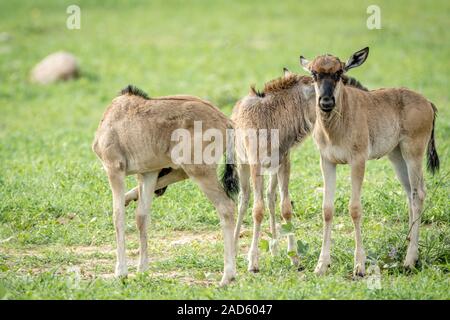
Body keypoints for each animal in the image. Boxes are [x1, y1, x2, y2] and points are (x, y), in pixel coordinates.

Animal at [91, 85, 239, 284]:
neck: (113, 116)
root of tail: (226, 121)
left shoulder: (114, 169)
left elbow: (118, 216)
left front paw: (121, 272)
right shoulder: (149, 173)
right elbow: (141, 217)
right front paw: (142, 269)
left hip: (200, 172)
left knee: (226, 207)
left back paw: (227, 276)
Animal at [298, 47, 440, 276]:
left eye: (339, 72)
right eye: (314, 73)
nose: (326, 102)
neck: (337, 123)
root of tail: (428, 103)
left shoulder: (358, 161)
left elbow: (354, 208)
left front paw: (359, 266)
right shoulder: (327, 162)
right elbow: (327, 209)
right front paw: (321, 265)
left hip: (413, 153)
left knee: (418, 194)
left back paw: (409, 260)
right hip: (397, 156)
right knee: (409, 194)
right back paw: (409, 248)